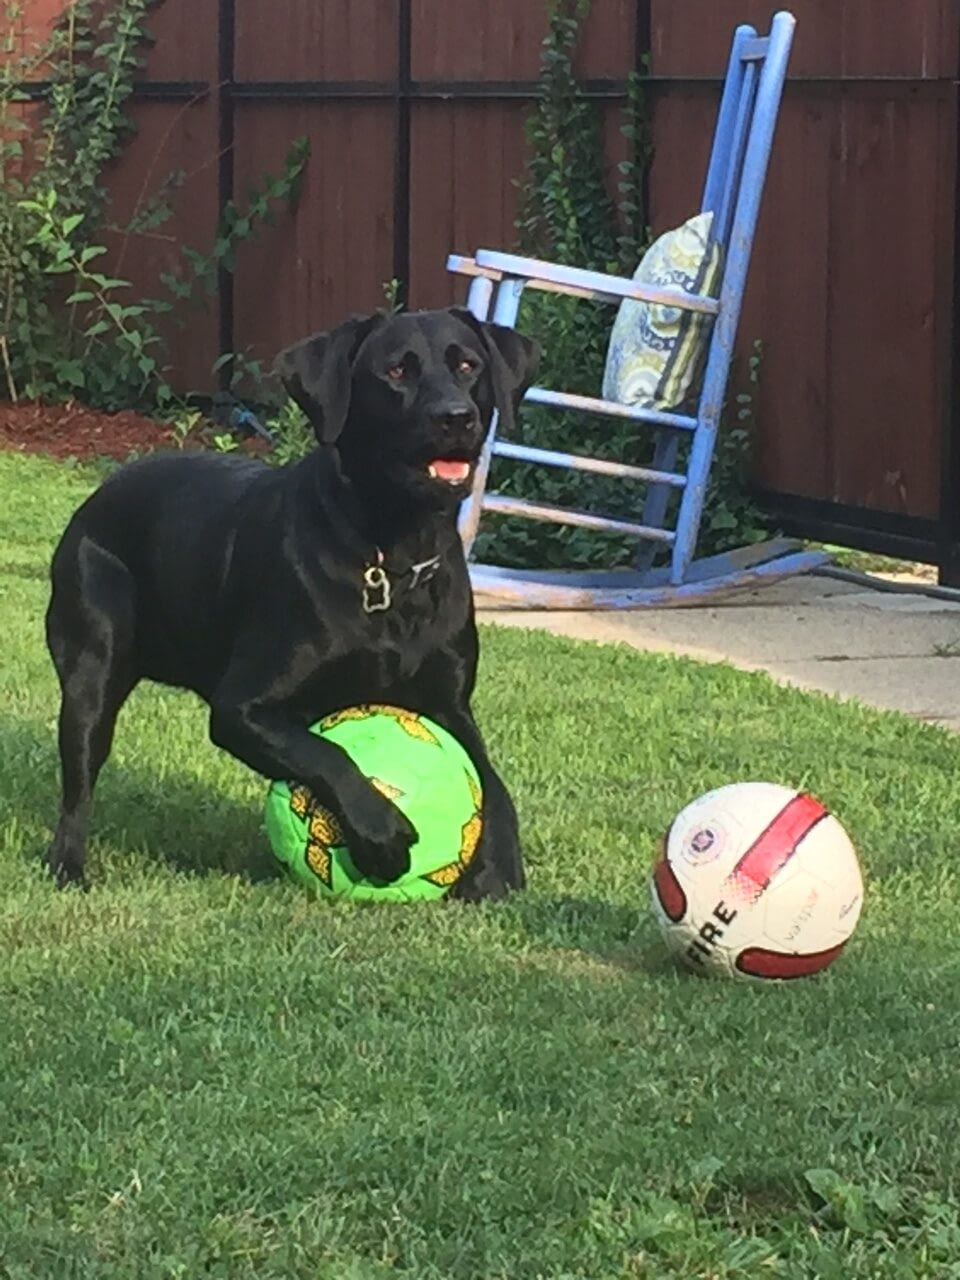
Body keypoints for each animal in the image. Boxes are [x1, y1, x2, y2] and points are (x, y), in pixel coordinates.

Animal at [43, 304, 542, 896]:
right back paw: (67, 863)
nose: (456, 416)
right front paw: (381, 832)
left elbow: (491, 779)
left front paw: (497, 868)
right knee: (79, 778)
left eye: (468, 365)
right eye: (396, 371)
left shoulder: (449, 702)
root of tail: (97, 495)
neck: (392, 557)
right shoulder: (242, 708)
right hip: (92, 662)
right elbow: (327, 752)